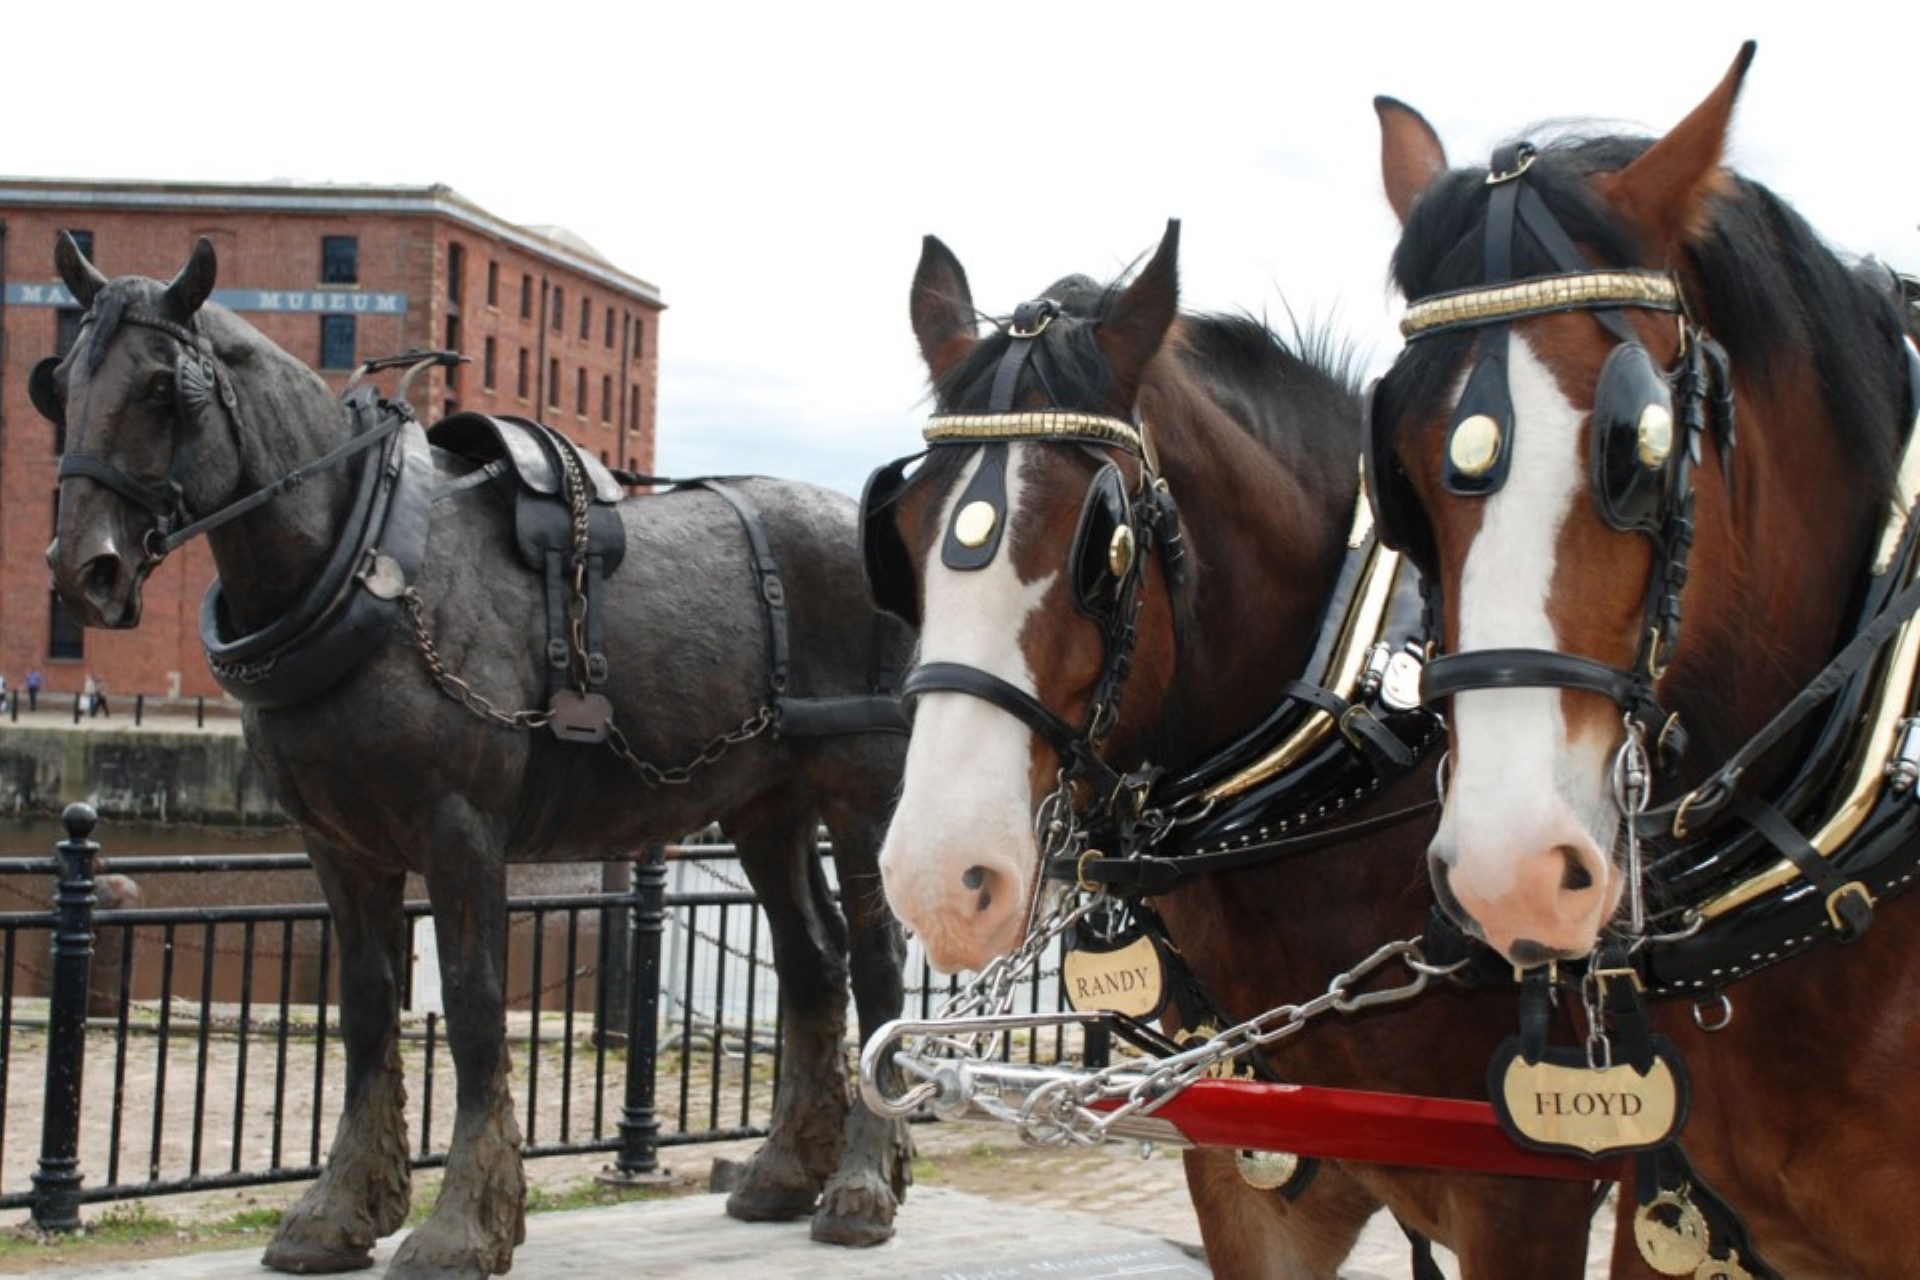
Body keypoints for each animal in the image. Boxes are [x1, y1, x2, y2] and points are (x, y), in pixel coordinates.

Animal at [34, 236, 914, 1278]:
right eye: (59, 384)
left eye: (165, 388)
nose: (82, 569)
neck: (365, 555)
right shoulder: (339, 843)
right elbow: (368, 1007)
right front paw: (340, 1207)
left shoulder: (459, 831)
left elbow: (473, 1005)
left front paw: (462, 1223)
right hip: (765, 807)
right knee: (812, 960)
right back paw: (783, 1171)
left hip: (861, 794)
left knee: (877, 962)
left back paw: (861, 1185)